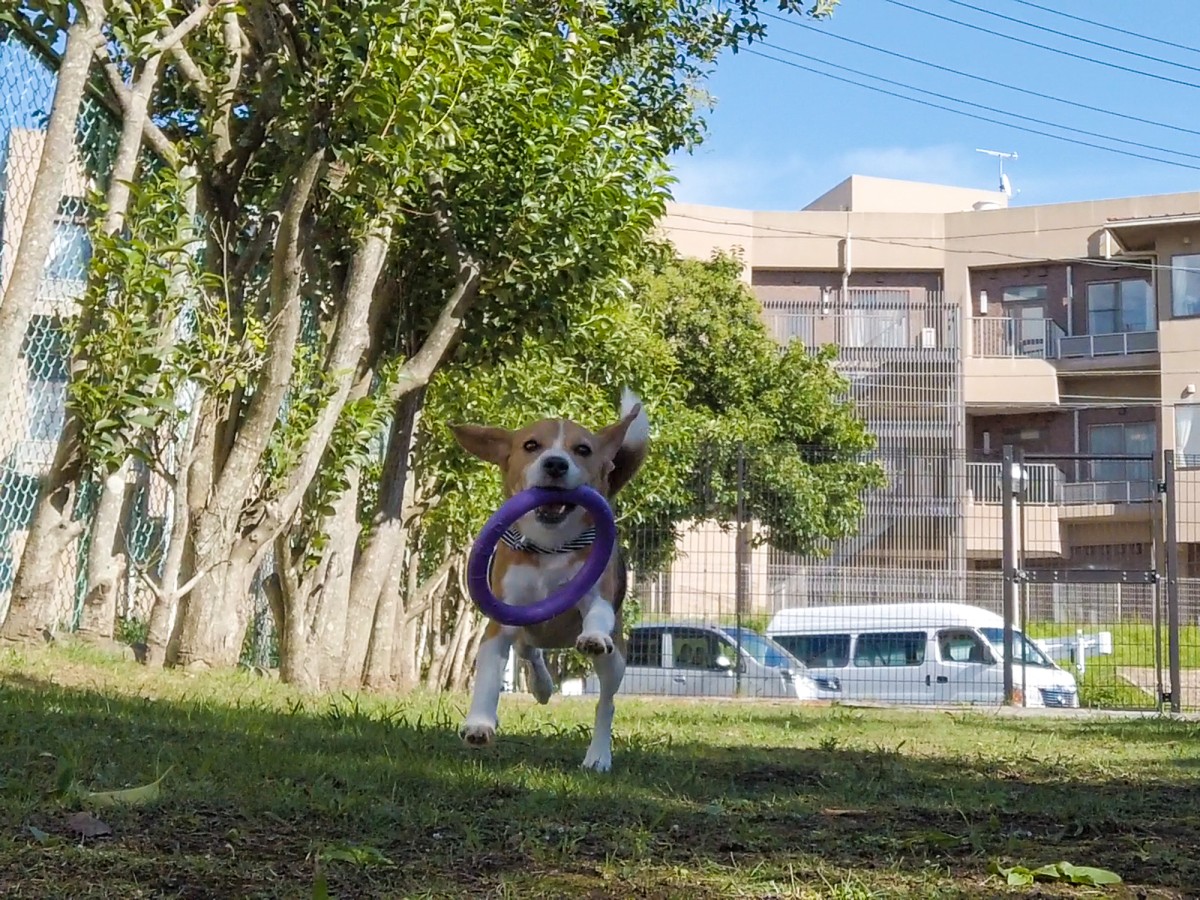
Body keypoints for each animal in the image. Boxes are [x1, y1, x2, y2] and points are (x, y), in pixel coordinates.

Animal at [451, 391, 652, 772]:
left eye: (583, 449)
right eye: (531, 445)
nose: (556, 464)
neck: (549, 547)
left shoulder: (597, 596)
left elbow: (597, 615)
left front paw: (592, 637)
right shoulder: (500, 622)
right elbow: (488, 676)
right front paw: (479, 724)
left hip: (616, 661)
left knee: (606, 703)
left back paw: (598, 755)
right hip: (526, 629)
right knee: (529, 651)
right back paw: (541, 687)